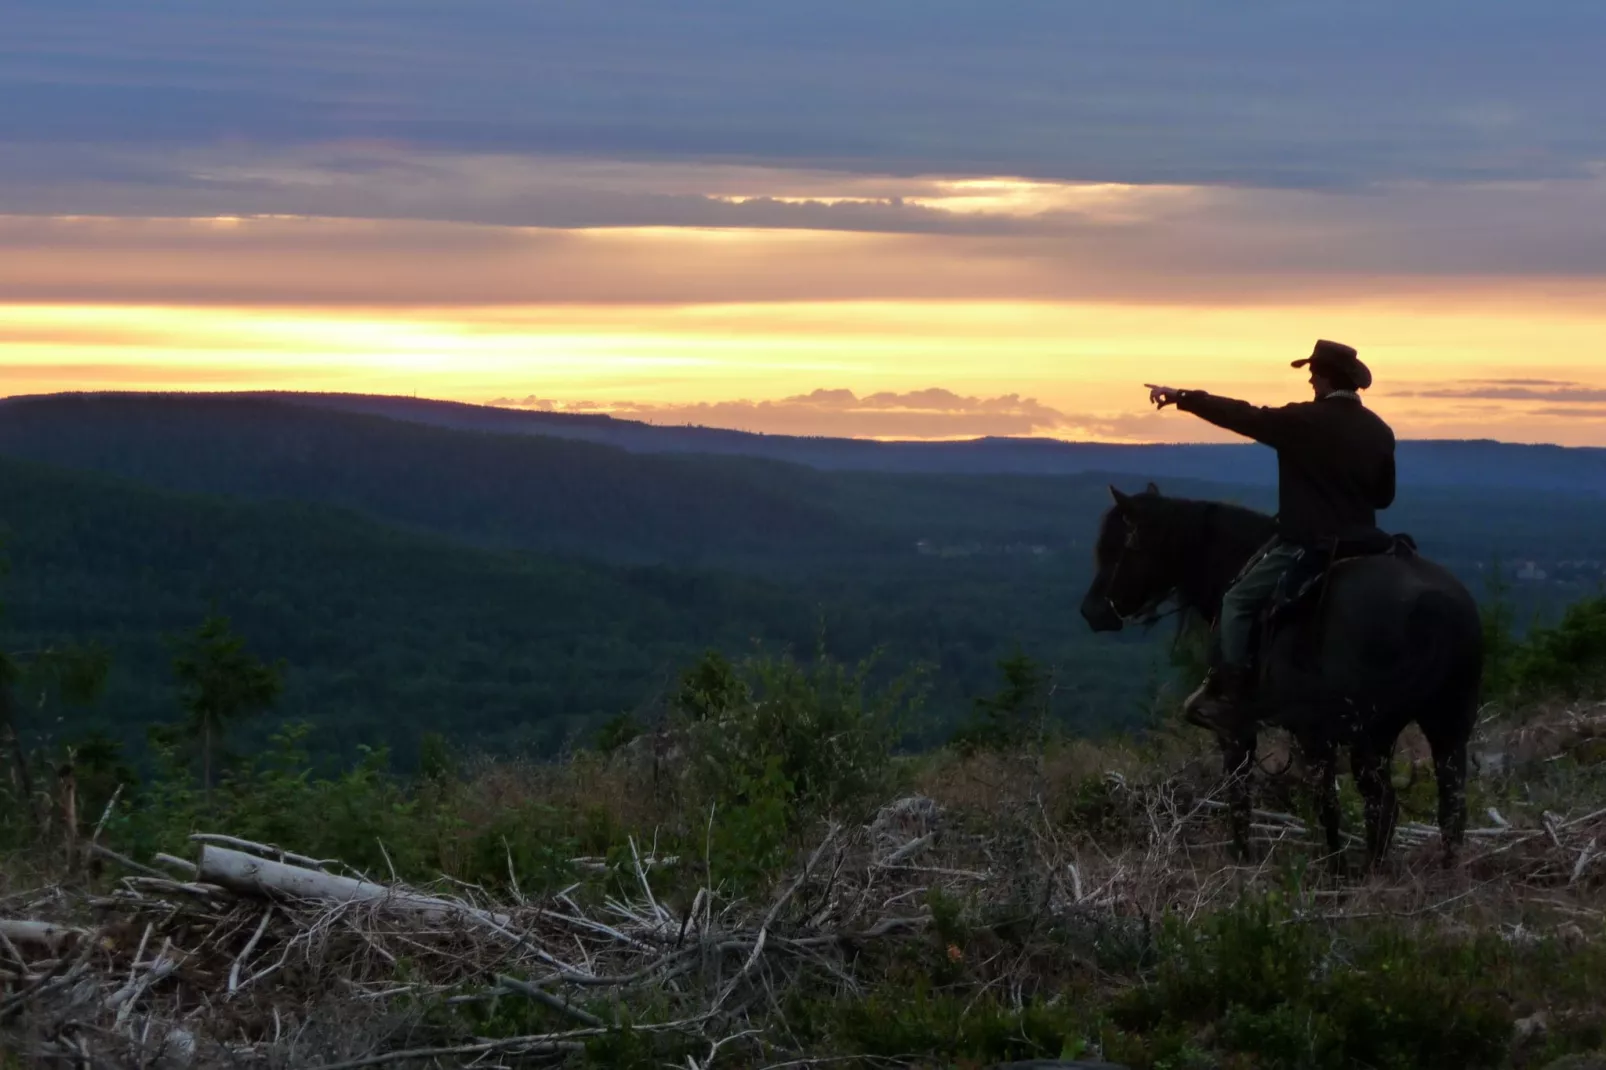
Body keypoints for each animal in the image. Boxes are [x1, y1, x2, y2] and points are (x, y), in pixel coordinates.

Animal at [1079, 481, 1477, 867]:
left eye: (1118, 548)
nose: (1091, 611)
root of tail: (1437, 606)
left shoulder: (1248, 730)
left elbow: (1245, 794)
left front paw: (1245, 859)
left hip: (1371, 735)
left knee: (1382, 806)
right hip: (1447, 726)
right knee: (1450, 808)